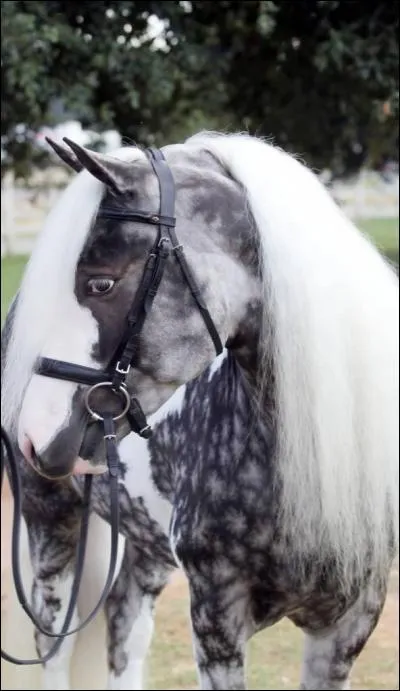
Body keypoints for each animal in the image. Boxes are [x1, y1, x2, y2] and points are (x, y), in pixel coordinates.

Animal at [1, 131, 398, 690]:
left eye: (100, 283)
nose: (34, 434)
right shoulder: (217, 615)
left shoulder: (348, 625)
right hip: (50, 525)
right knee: (53, 643)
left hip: (143, 548)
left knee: (124, 634)